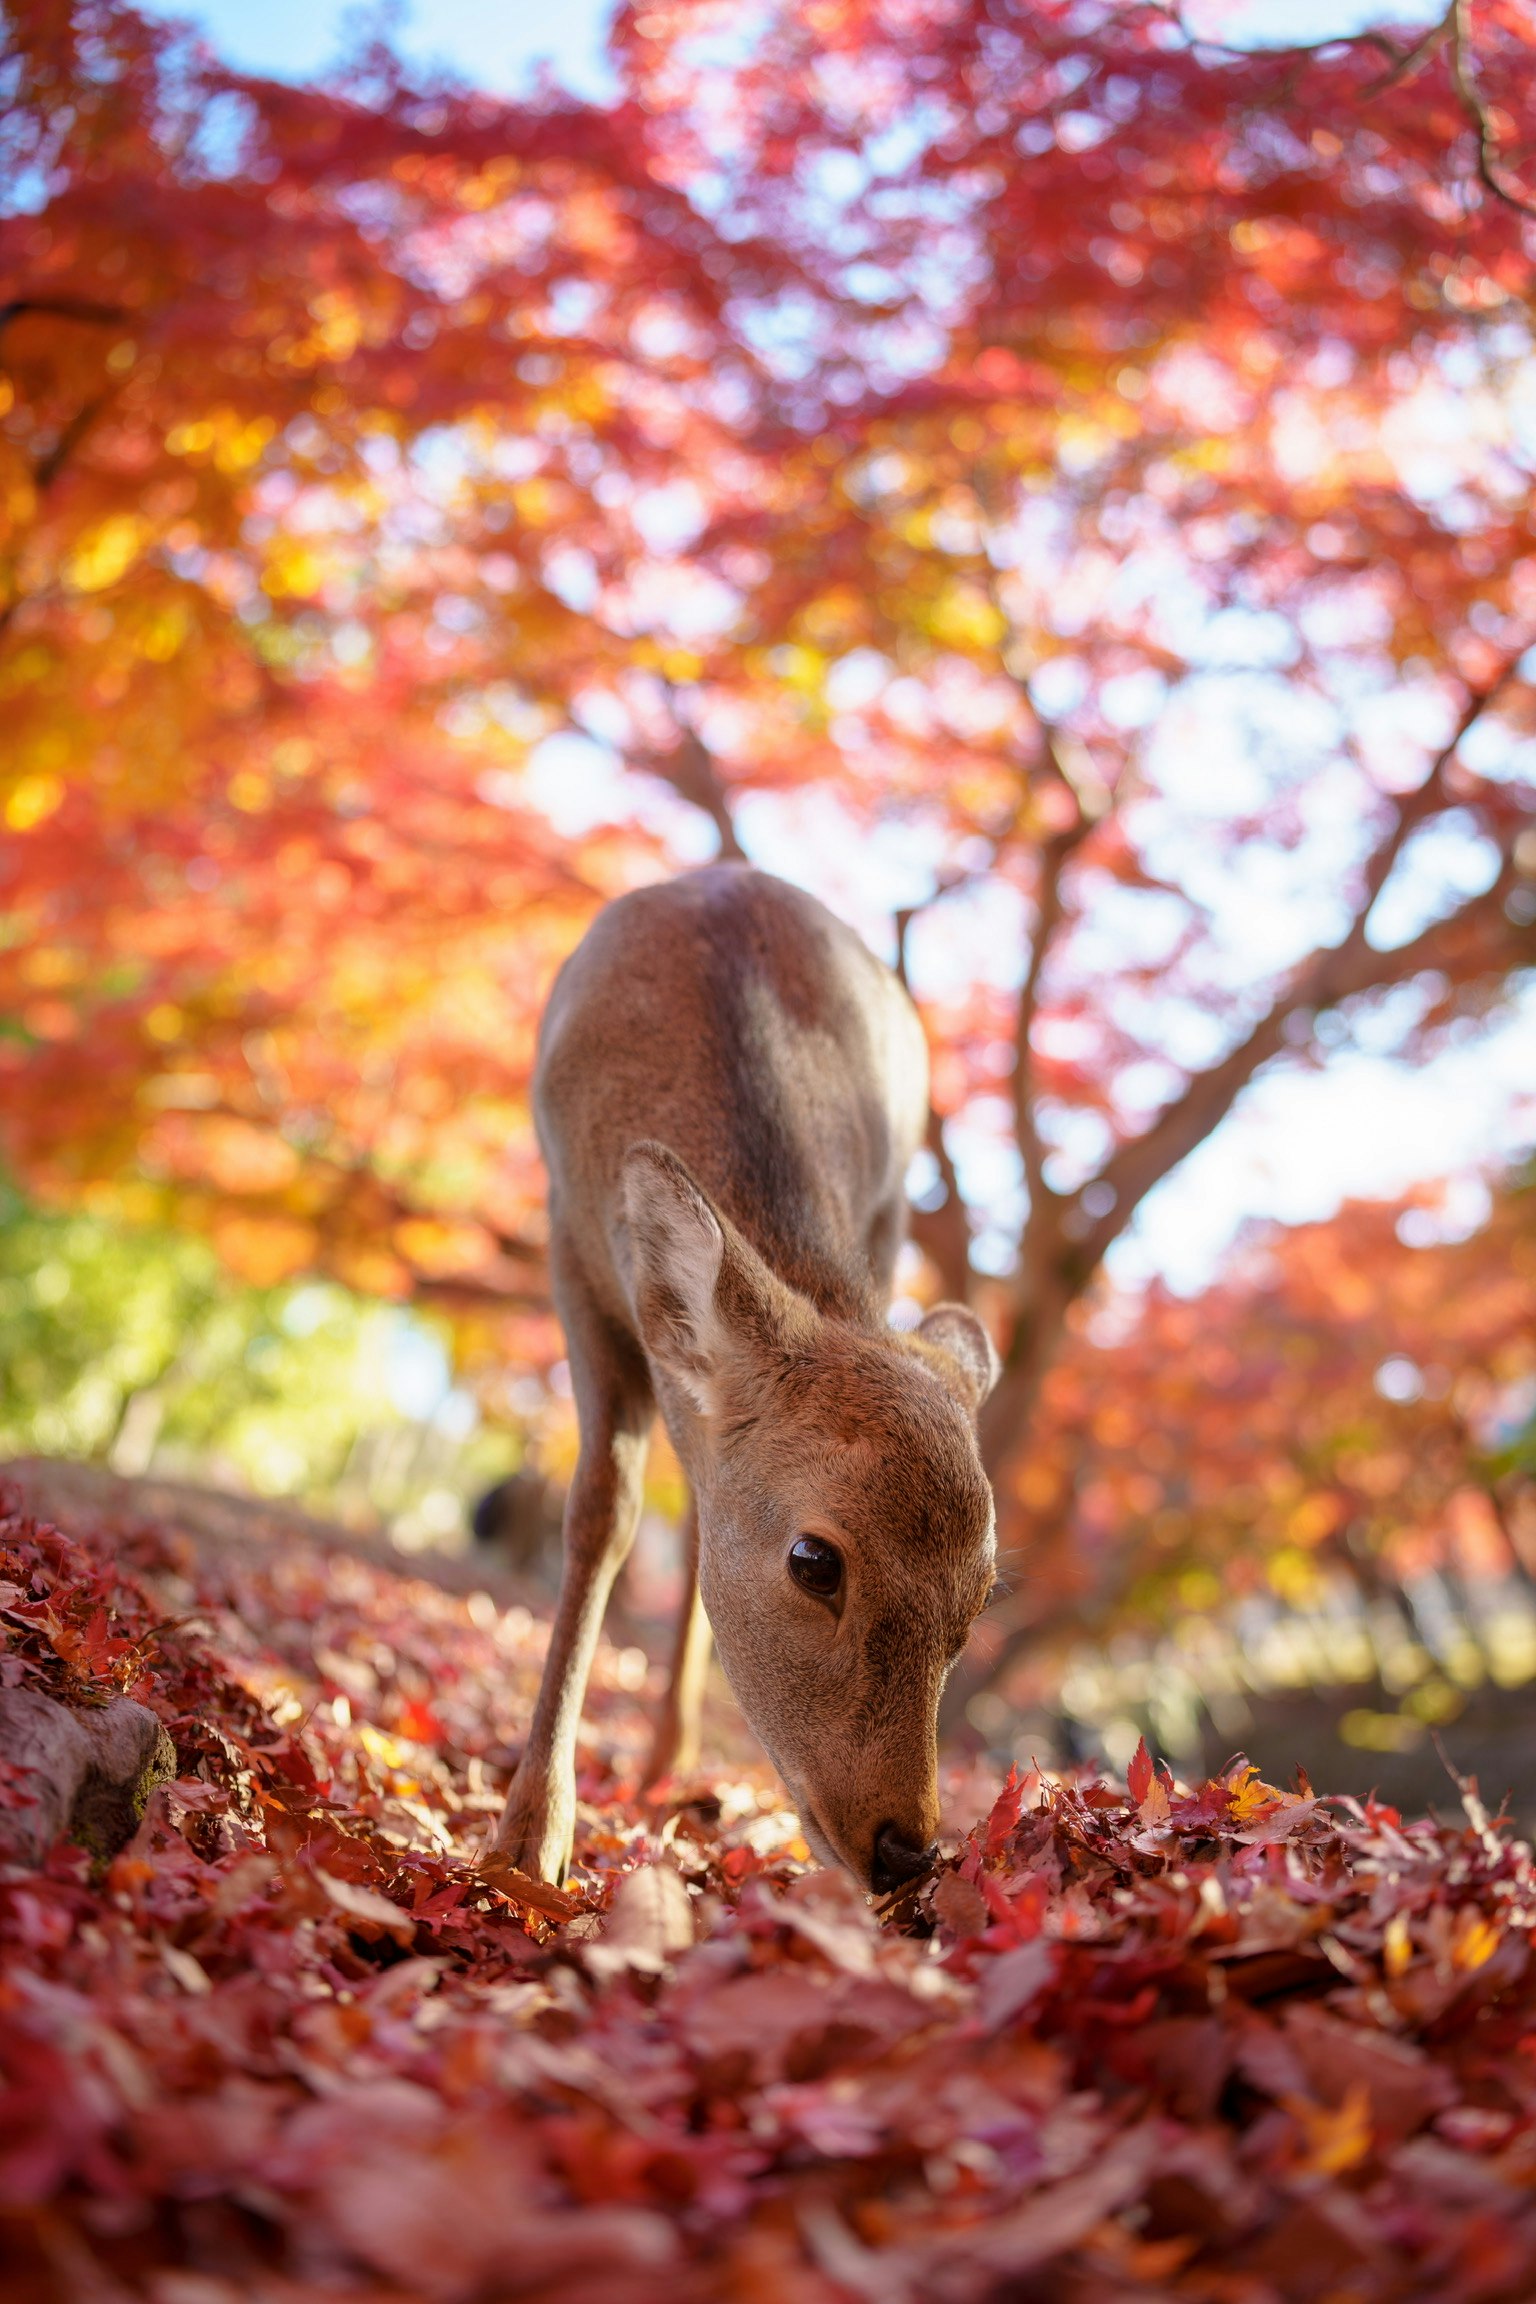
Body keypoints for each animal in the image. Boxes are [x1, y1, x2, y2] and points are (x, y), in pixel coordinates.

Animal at [493, 864, 1000, 1893]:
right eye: (814, 1560)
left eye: (976, 1605)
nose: (907, 1849)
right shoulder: (569, 1244)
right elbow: (602, 1512)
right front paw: (531, 1836)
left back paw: (667, 1762)